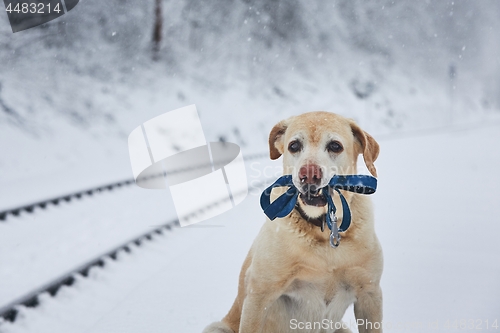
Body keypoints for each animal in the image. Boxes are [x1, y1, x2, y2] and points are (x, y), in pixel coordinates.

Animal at [203, 111, 382, 332]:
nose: (309, 174)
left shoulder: (370, 293)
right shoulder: (259, 293)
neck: (323, 229)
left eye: (335, 146)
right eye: (294, 145)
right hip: (217, 327)